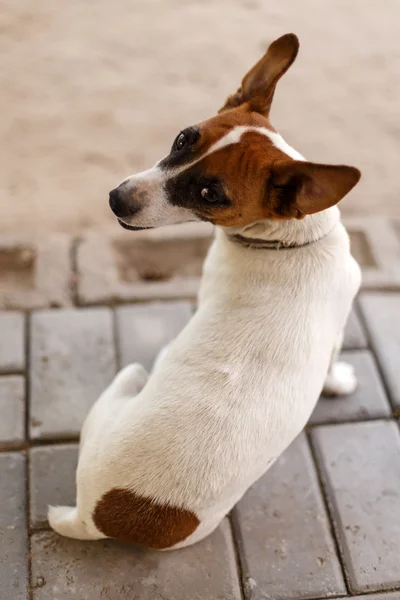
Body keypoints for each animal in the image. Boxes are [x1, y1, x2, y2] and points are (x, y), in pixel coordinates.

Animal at [48, 31, 360, 548]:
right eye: (182, 138)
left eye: (210, 195)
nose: (115, 199)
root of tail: (97, 515)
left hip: (127, 381)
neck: (281, 243)